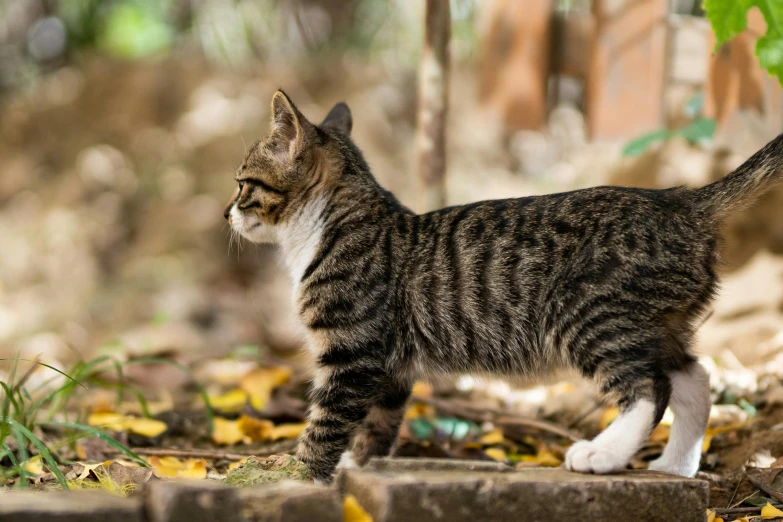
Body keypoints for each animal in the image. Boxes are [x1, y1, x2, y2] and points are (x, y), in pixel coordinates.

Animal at [225, 88, 783, 480]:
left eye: (242, 184)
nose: (225, 213)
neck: (327, 227)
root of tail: (679, 201)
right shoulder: (389, 366)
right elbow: (376, 428)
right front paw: (352, 469)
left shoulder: (352, 353)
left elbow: (325, 421)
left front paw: (298, 475)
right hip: (657, 322)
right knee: (696, 378)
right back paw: (675, 465)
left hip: (590, 315)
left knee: (651, 387)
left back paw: (602, 454)